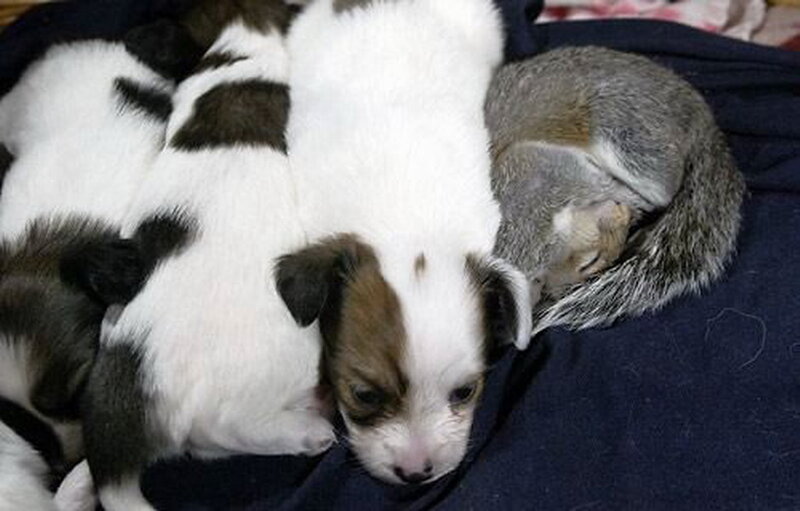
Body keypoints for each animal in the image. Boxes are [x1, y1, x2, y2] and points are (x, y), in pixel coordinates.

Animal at [486, 46, 746, 334]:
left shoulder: (536, 170)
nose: (624, 221)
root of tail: (696, 108)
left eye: (590, 261)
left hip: (621, 128)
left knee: (664, 184)